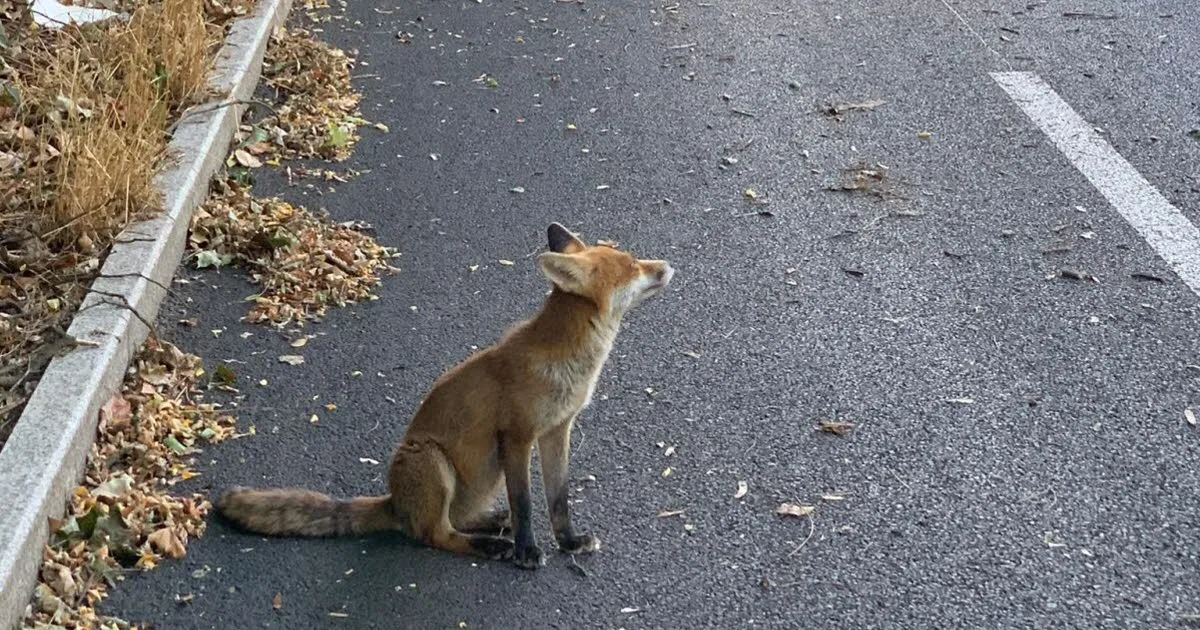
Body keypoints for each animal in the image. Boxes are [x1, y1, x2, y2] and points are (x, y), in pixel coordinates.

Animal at [217, 223, 674, 569]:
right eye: (631, 266)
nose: (667, 265)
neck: (567, 366)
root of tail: (395, 501)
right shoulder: (516, 436)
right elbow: (526, 502)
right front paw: (527, 552)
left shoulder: (557, 430)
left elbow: (557, 498)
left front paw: (569, 541)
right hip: (433, 461)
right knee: (434, 533)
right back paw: (492, 546)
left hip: (478, 479)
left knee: (456, 519)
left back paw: (492, 524)